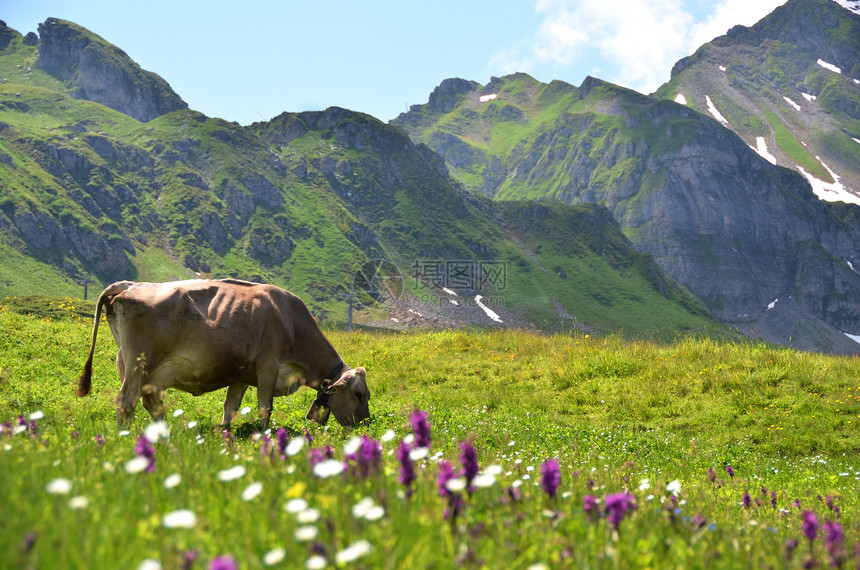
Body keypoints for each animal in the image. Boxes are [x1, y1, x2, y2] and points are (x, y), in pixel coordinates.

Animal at [80, 278, 372, 428]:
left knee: (150, 402)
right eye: (359, 394)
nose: (366, 423)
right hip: (140, 363)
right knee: (126, 402)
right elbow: (265, 408)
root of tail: (128, 285)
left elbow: (230, 409)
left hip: (140, 367)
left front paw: (225, 436)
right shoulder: (269, 366)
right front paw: (264, 438)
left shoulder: (242, 375)